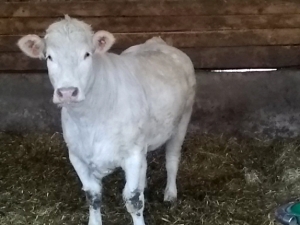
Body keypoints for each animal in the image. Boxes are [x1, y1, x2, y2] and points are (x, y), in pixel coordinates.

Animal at [18, 14, 197, 224]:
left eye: (87, 54)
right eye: (49, 57)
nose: (67, 92)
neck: (90, 118)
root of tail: (157, 42)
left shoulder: (132, 154)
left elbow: (133, 200)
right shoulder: (77, 155)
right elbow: (92, 195)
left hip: (182, 121)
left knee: (172, 160)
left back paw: (170, 194)